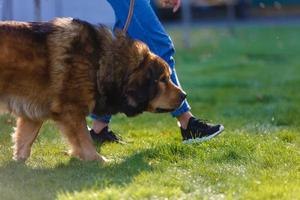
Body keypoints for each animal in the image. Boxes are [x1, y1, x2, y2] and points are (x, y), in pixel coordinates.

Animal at [0, 18, 185, 162]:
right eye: (163, 79)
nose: (184, 95)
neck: (101, 62)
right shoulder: (72, 110)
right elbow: (84, 138)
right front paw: (97, 159)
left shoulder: (33, 112)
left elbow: (25, 139)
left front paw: (19, 161)